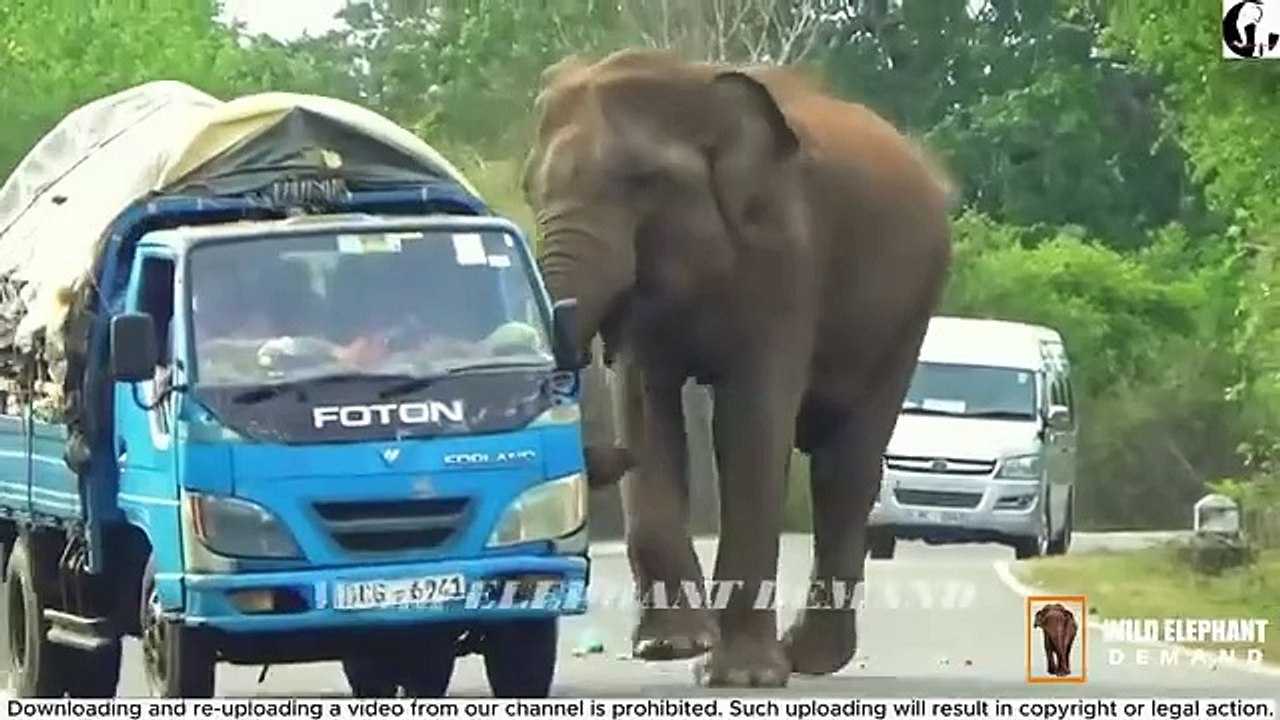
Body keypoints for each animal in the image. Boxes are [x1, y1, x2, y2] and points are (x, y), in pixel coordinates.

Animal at [522, 49, 953, 687]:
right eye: (531, 193)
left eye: (643, 182)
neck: (691, 85)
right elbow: (648, 406)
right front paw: (669, 648)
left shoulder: (787, 254)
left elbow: (747, 423)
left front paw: (739, 679)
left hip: (912, 306)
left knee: (844, 465)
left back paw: (808, 660)